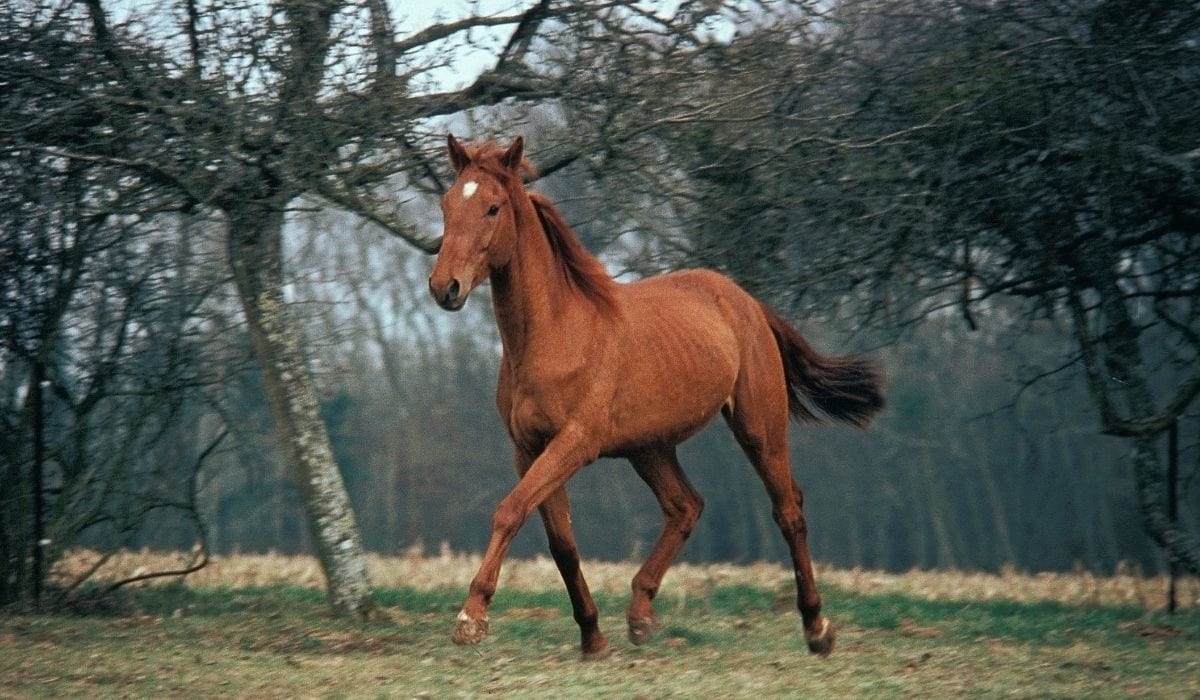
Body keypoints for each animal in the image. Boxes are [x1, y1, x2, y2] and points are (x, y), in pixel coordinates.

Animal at [427, 134, 885, 659]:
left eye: (493, 207)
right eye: (446, 204)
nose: (444, 287)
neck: (555, 334)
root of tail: (746, 302)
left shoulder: (576, 443)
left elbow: (509, 511)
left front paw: (471, 618)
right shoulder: (529, 450)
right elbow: (561, 542)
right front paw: (593, 637)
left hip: (758, 428)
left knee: (787, 509)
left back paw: (817, 628)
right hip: (648, 447)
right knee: (686, 506)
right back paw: (641, 615)